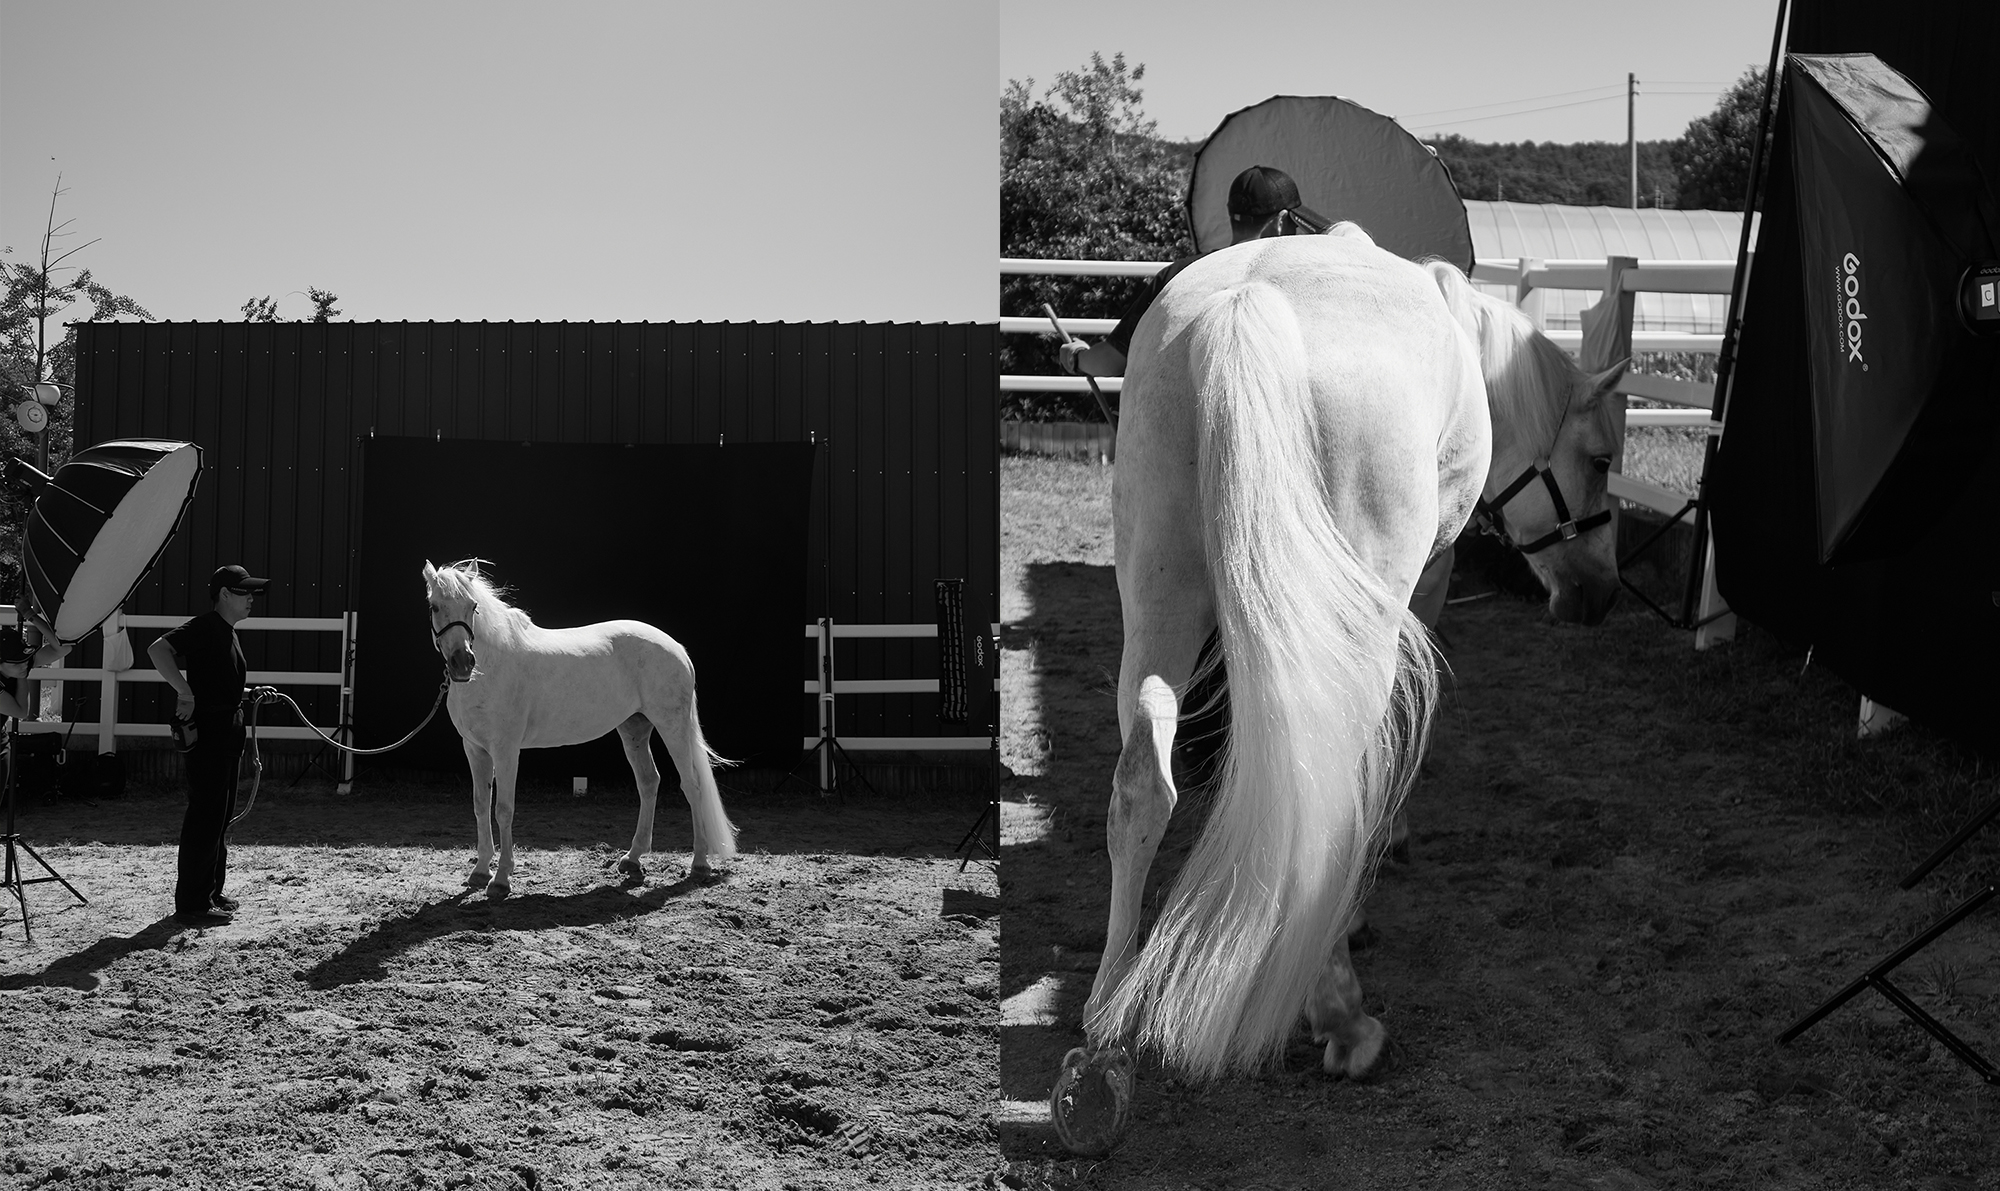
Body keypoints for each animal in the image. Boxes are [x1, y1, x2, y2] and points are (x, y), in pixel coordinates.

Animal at [421, 560, 737, 896]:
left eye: (473, 606)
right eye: (434, 606)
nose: (462, 662)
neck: (491, 669)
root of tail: (676, 647)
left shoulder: (506, 751)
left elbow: (503, 809)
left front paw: (501, 879)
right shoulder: (475, 749)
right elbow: (481, 805)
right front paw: (480, 871)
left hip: (672, 726)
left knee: (692, 785)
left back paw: (699, 864)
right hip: (634, 729)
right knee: (649, 782)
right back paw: (632, 859)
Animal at [1049, 228, 1627, 1154]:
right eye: (1601, 458)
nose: (1599, 594)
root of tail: (1241, 310)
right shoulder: (1427, 578)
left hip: (1159, 594)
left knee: (1143, 781)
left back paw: (1104, 1041)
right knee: (1320, 783)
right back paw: (1342, 1015)